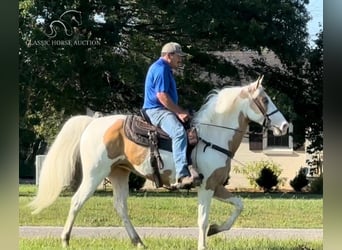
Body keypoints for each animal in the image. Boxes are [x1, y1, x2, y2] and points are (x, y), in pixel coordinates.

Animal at [28, 76, 288, 250]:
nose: (285, 126)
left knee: (120, 207)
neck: (213, 135)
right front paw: (204, 242)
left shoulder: (215, 186)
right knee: (76, 201)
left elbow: (239, 205)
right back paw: (65, 240)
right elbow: (202, 220)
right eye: (265, 99)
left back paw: (138, 241)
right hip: (94, 174)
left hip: (119, 174)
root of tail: (93, 123)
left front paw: (216, 230)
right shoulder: (205, 187)